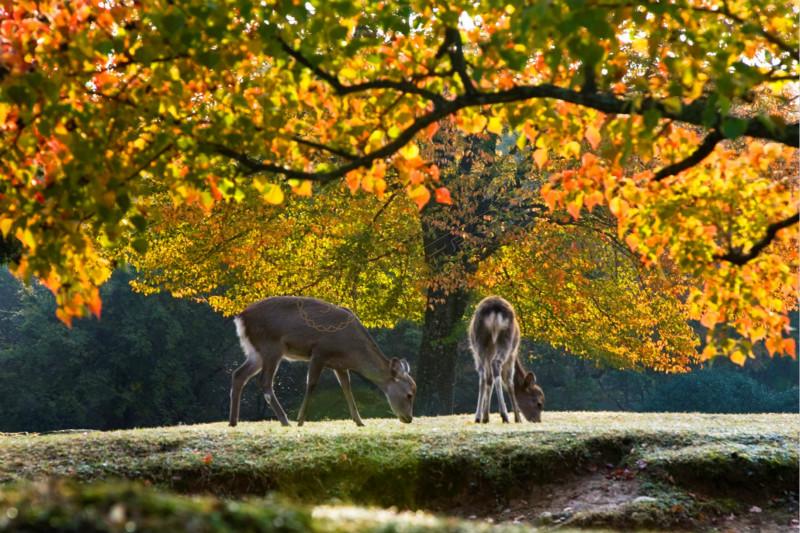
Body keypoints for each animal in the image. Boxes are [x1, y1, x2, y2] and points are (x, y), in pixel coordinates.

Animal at [228, 296, 416, 428]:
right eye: (409, 394)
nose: (409, 418)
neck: (351, 350)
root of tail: (240, 318)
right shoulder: (320, 352)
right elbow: (311, 383)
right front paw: (300, 420)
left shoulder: (339, 365)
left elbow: (346, 388)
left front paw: (359, 421)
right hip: (271, 347)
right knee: (265, 381)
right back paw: (285, 421)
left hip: (255, 352)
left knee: (238, 375)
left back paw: (233, 422)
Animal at [468, 296, 544, 424]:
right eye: (539, 403)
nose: (537, 420)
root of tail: (494, 309)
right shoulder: (512, 354)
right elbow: (509, 382)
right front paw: (517, 418)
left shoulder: (488, 354)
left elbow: (489, 380)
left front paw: (485, 417)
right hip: (506, 341)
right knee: (497, 365)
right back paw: (505, 415)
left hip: (479, 343)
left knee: (483, 374)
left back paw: (478, 417)